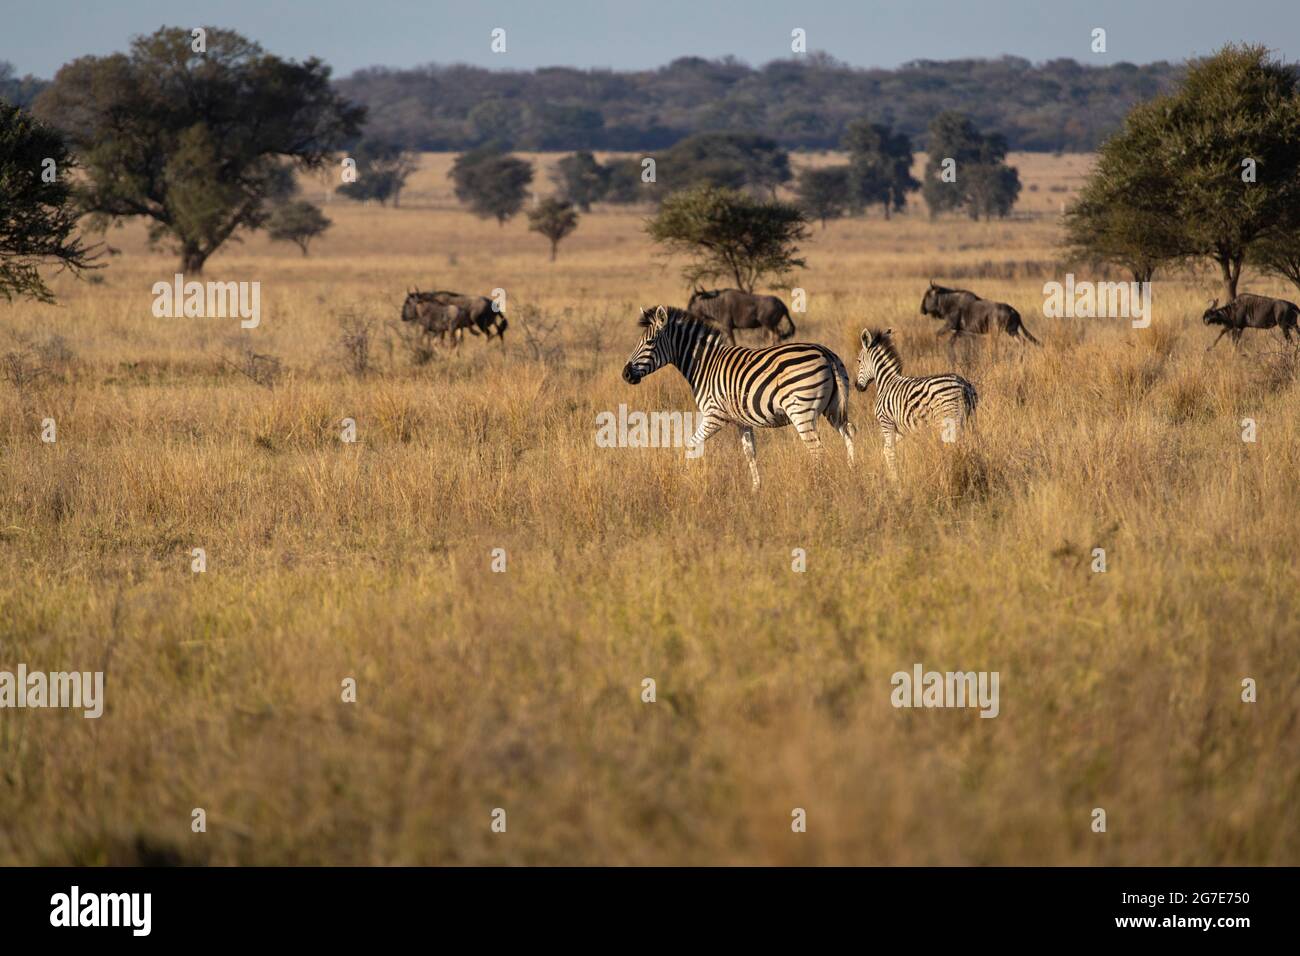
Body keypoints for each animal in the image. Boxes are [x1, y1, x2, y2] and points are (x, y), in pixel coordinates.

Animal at [618, 306, 852, 489]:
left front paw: (686, 481)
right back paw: (853, 470)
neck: (704, 364)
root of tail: (826, 353)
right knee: (849, 432)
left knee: (816, 449)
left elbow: (691, 444)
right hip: (832, 408)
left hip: (801, 411)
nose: (625, 374)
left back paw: (817, 486)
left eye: (650, 342)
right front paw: (756, 488)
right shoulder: (741, 421)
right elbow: (750, 453)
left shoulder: (715, 415)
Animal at [852, 329, 977, 478]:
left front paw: (894, 479)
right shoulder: (900, 430)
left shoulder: (886, 421)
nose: (857, 386)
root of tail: (963, 384)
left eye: (859, 361)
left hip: (949, 419)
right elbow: (887, 449)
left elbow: (889, 451)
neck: (886, 382)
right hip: (968, 419)